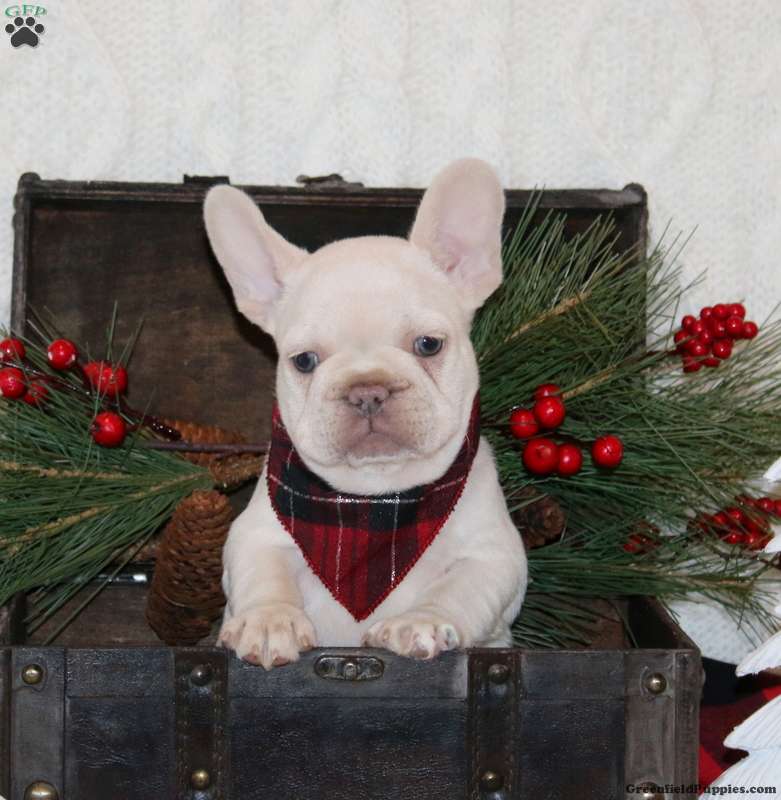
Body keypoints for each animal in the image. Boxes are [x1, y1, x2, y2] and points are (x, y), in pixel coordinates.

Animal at [203, 159, 527, 669]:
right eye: (304, 361)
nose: (367, 389)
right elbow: (265, 572)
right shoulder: (254, 535)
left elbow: (459, 588)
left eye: (428, 345)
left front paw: (420, 622)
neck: (374, 501)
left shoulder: (495, 556)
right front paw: (269, 621)